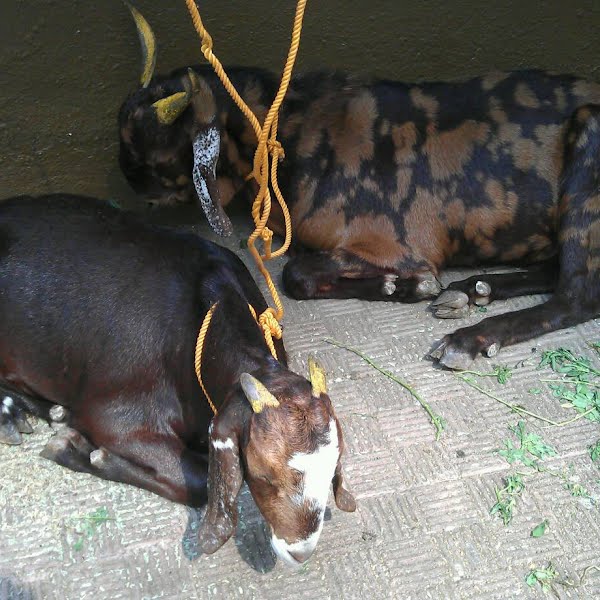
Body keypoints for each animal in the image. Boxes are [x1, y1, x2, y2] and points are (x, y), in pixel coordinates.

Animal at [0, 194, 355, 566]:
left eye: (332, 468)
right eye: (263, 476)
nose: (299, 551)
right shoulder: (112, 414)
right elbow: (198, 484)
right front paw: (81, 450)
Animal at [118, 8, 600, 370]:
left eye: (152, 153)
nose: (127, 182)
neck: (295, 134)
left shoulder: (396, 244)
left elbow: (296, 274)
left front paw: (406, 286)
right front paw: (398, 287)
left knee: (578, 294)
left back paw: (471, 338)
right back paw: (474, 289)